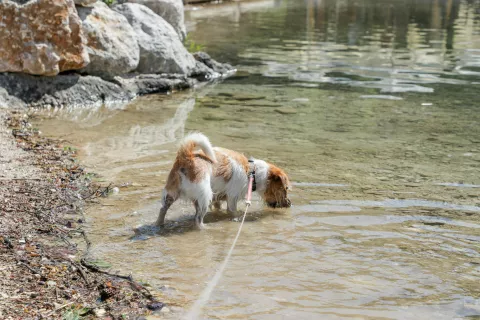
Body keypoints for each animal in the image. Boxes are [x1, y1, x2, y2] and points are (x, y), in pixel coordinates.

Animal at [157, 134, 292, 229]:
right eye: (285, 188)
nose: (290, 204)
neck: (253, 172)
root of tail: (186, 157)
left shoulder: (218, 197)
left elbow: (218, 208)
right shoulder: (232, 199)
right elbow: (233, 212)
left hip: (171, 194)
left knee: (162, 210)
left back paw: (159, 225)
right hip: (204, 197)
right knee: (198, 219)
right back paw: (205, 227)